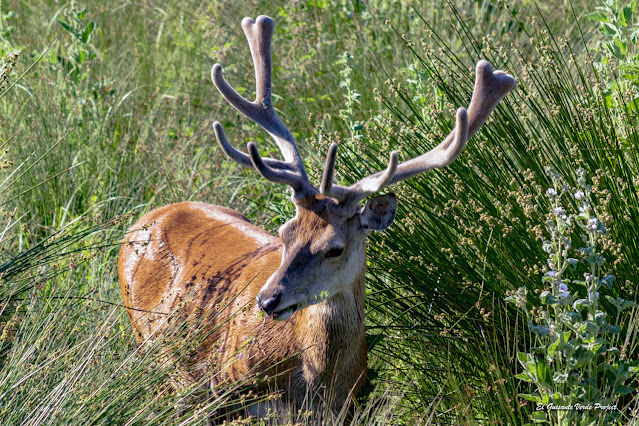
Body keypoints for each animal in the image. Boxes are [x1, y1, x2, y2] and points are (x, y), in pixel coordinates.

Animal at [119, 15, 516, 418]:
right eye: (284, 233)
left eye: (335, 248)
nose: (266, 301)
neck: (318, 386)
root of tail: (148, 216)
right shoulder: (227, 390)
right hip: (146, 342)